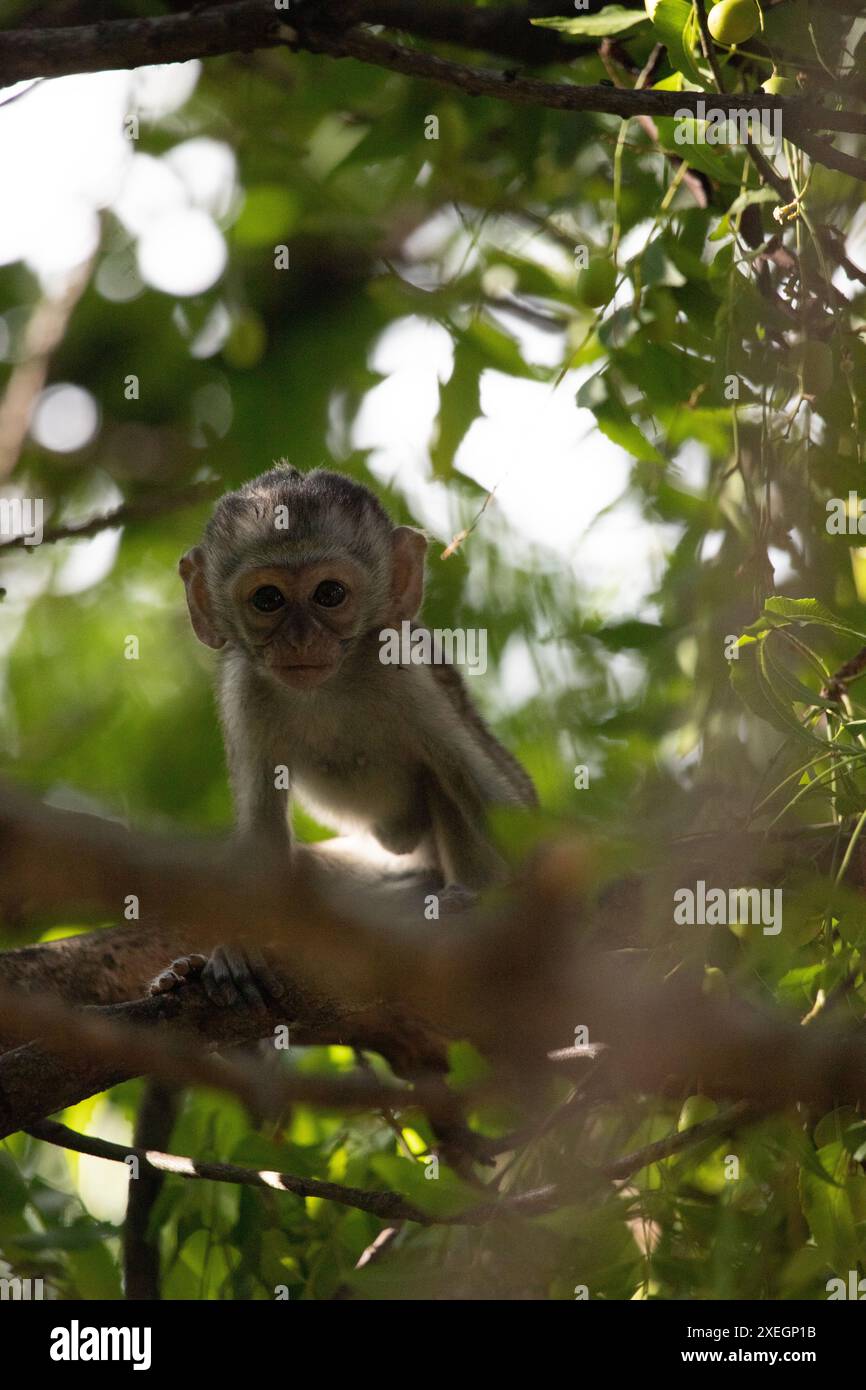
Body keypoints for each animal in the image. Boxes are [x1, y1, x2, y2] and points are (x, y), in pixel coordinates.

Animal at [152, 467, 539, 1011]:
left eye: (329, 594)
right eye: (268, 599)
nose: (300, 640)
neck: (326, 691)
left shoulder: (400, 670)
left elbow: (495, 801)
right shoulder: (244, 690)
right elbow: (262, 836)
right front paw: (234, 951)